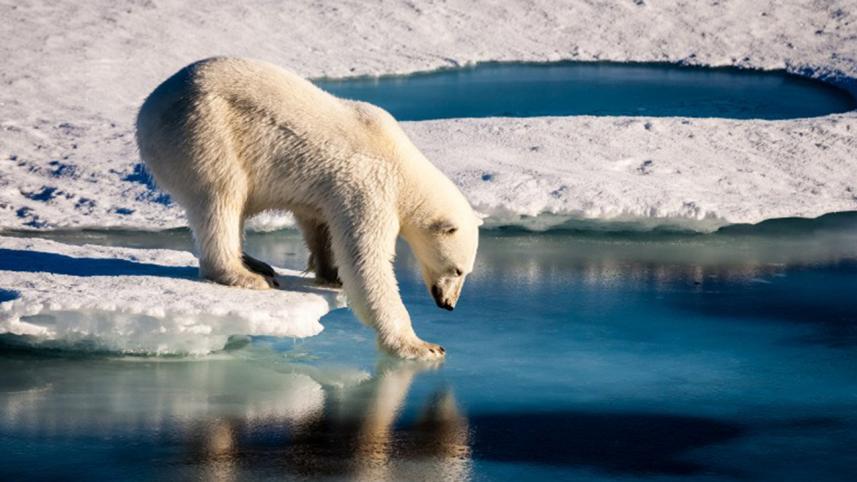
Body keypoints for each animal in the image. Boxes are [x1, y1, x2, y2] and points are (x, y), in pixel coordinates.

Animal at [136, 57, 481, 360]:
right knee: (221, 197)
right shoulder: (369, 187)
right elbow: (366, 261)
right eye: (457, 270)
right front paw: (422, 346)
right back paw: (246, 275)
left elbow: (319, 223)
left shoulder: (329, 191)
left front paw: (331, 273)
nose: (448, 304)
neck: (401, 163)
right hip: (204, 131)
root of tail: (147, 110)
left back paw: (256, 263)